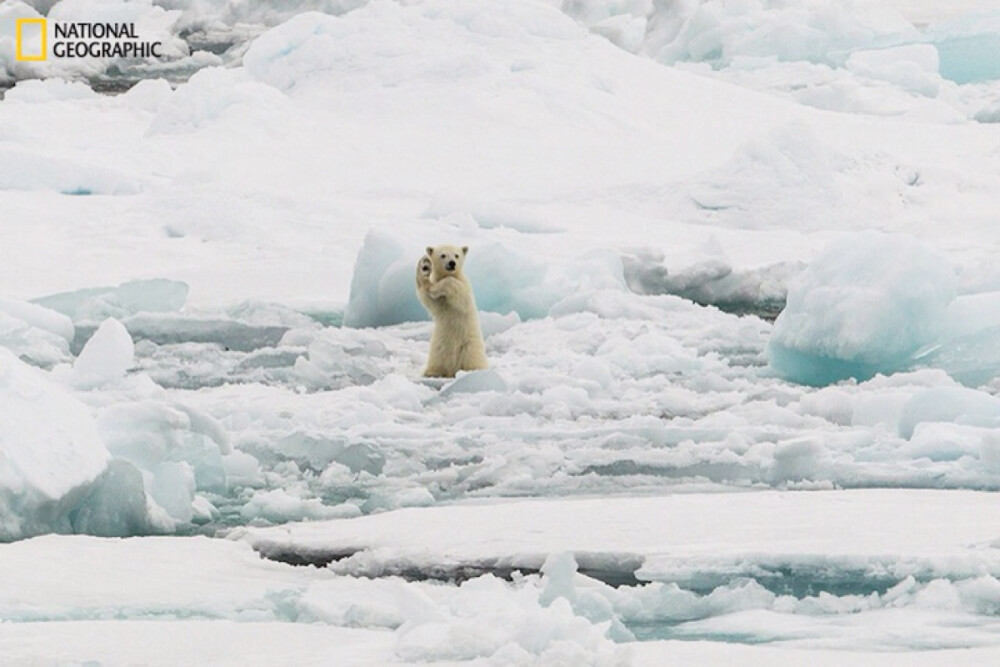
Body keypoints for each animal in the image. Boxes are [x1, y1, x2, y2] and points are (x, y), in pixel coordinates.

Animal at [416, 247, 490, 380]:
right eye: (443, 255)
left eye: (456, 255)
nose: (452, 263)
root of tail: (452, 370)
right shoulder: (440, 301)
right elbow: (429, 299)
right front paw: (424, 265)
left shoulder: (464, 287)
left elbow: (455, 289)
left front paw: (435, 288)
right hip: (438, 346)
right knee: (437, 359)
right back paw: (432, 372)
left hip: (469, 345)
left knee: (471, 358)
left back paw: (471, 371)